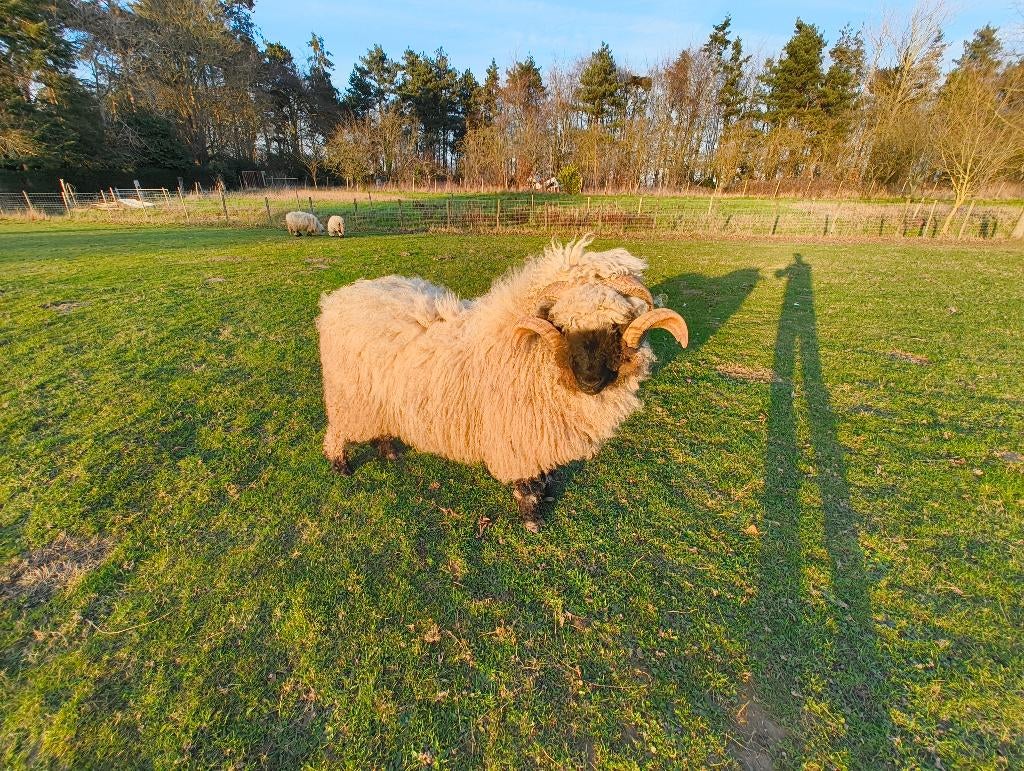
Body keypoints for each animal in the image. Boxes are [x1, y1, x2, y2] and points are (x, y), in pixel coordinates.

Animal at [316, 235, 688, 531]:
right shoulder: (518, 434)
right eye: (562, 326)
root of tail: (337, 299)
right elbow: (526, 483)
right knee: (337, 430)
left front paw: (547, 492)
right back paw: (340, 464)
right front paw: (532, 518)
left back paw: (389, 450)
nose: (590, 382)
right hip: (348, 396)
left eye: (617, 325)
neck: (530, 350)